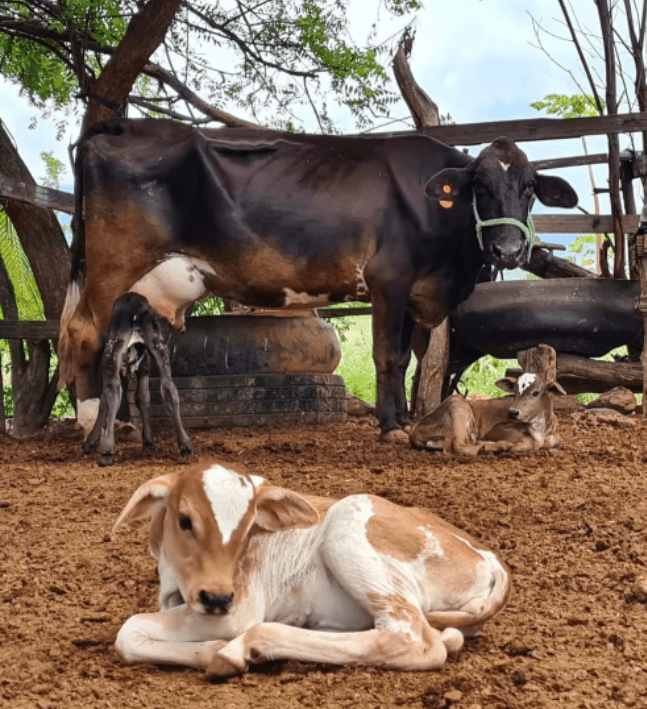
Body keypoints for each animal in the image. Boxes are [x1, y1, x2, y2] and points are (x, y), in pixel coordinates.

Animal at [58, 119, 578, 442]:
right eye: (481, 187)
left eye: (529, 188)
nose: (508, 250)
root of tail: (121, 125)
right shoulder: (388, 280)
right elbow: (388, 357)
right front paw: (391, 426)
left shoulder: (416, 292)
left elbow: (407, 357)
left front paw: (404, 419)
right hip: (112, 266)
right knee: (85, 335)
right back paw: (93, 420)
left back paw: (123, 423)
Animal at [83, 292, 194, 466]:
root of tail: (134, 304)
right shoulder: (144, 367)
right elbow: (143, 398)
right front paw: (148, 441)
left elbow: (104, 402)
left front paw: (91, 442)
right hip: (159, 347)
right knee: (170, 389)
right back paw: (185, 445)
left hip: (112, 354)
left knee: (113, 395)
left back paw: (107, 450)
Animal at [112, 460, 511, 677]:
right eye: (184, 520)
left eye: (249, 526)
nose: (217, 597)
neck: (177, 582)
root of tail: (489, 556)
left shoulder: (240, 607)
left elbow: (129, 629)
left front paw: (216, 650)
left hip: (346, 525)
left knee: (414, 639)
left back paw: (241, 649)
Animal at [409, 372, 566, 454]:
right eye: (514, 391)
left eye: (536, 393)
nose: (513, 412)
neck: (539, 427)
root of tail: (416, 424)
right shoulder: (494, 430)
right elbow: (528, 441)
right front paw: (513, 445)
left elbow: (557, 440)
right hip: (457, 404)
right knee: (455, 445)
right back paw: (494, 446)